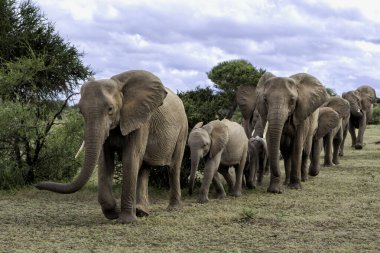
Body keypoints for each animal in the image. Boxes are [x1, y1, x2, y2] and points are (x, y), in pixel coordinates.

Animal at [36, 69, 188, 223]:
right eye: (80, 112)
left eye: (110, 109)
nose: (37, 185)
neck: (119, 86)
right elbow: (105, 160)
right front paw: (113, 212)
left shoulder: (140, 120)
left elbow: (130, 157)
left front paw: (126, 220)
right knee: (144, 168)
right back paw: (141, 211)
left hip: (183, 128)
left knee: (173, 167)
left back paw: (172, 209)